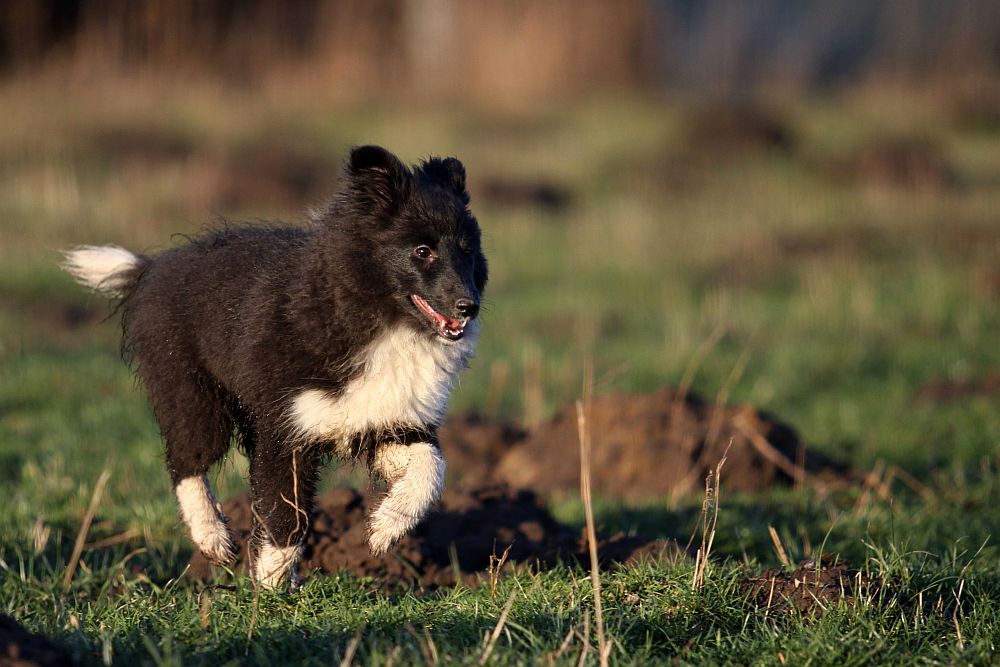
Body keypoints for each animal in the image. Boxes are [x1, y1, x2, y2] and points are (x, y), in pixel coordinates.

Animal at [60, 146, 490, 588]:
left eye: (467, 248)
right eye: (422, 250)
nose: (468, 307)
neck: (381, 321)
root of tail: (151, 269)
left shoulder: (381, 418)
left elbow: (432, 467)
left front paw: (382, 530)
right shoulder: (286, 426)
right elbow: (284, 510)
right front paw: (270, 589)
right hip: (189, 386)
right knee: (186, 458)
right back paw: (214, 540)